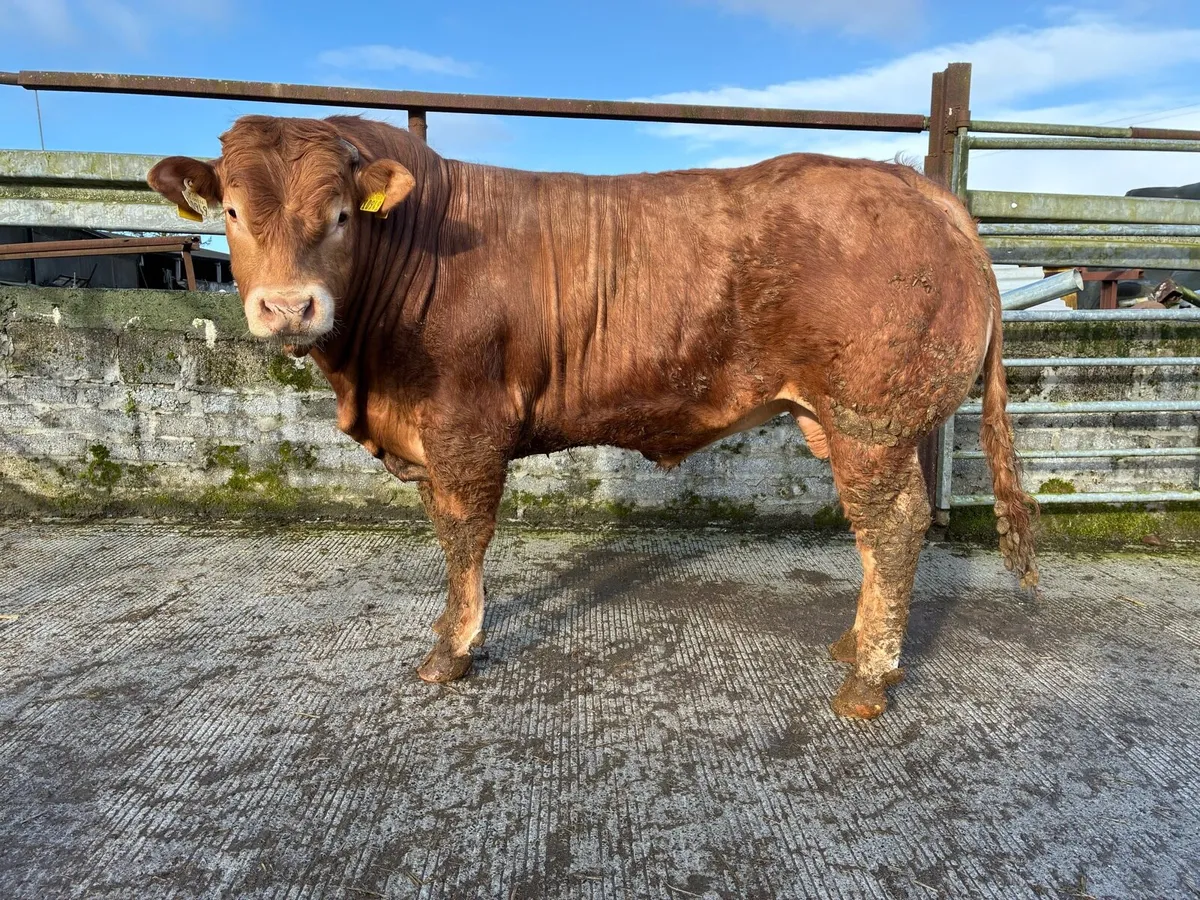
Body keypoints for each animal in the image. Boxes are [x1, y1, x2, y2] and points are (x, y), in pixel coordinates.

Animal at [147, 114, 1038, 720]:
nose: (288, 307)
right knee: (874, 531)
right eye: (231, 212)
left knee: (894, 525)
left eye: (339, 215)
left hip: (871, 420)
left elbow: (462, 536)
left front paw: (451, 649)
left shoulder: (463, 426)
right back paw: (856, 644)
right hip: (846, 421)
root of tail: (926, 193)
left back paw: (866, 679)